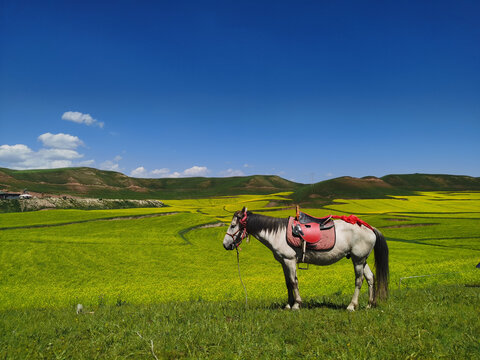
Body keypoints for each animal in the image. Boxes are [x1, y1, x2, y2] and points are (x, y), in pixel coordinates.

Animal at [223, 207, 388, 310]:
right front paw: (288, 305)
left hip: (358, 260)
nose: (225, 245)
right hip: (361, 259)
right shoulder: (284, 262)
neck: (278, 233)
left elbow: (293, 282)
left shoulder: (289, 260)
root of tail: (369, 228)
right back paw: (369, 304)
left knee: (359, 281)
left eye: (233, 226)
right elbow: (288, 283)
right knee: (370, 278)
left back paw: (351, 306)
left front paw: (296, 304)